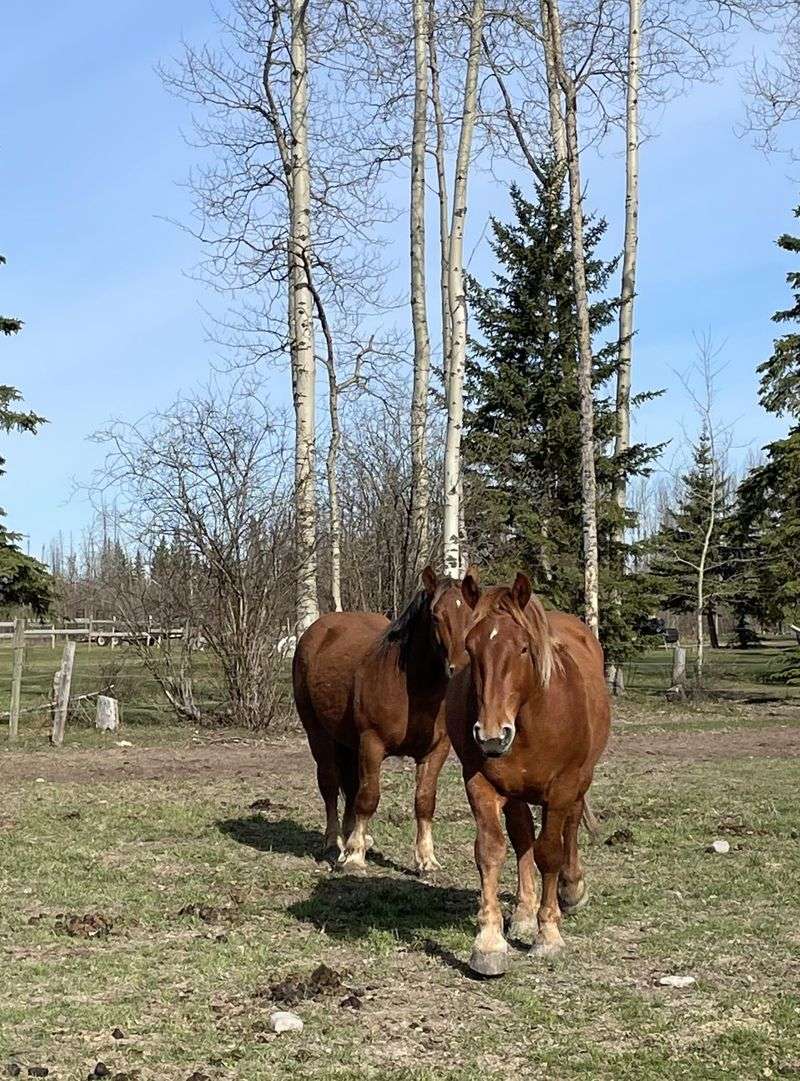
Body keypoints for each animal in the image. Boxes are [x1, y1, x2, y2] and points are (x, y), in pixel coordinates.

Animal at [294, 570, 482, 873]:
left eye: (473, 615)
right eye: (436, 616)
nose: (460, 669)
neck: (415, 690)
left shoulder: (436, 750)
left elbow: (424, 801)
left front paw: (426, 859)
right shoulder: (372, 744)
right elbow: (369, 797)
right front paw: (354, 857)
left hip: (348, 742)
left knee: (349, 787)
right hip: (318, 734)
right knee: (331, 785)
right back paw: (334, 842)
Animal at [447, 575, 609, 981]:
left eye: (522, 648)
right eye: (471, 648)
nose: (492, 736)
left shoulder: (562, 787)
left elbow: (549, 852)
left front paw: (548, 934)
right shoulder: (480, 784)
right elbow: (491, 851)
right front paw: (489, 943)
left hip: (578, 782)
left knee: (569, 830)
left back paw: (571, 889)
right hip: (516, 792)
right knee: (522, 840)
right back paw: (522, 913)